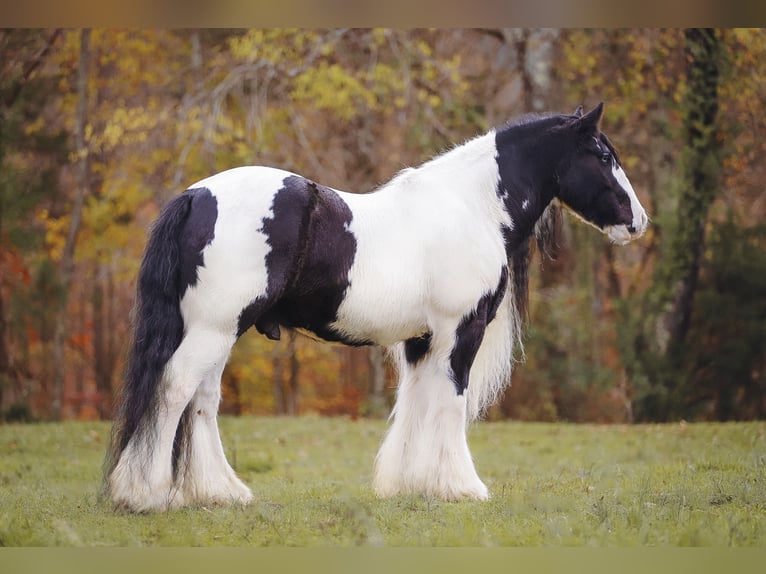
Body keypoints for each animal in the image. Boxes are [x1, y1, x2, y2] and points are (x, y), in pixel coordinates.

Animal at [105, 102, 652, 512]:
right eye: (602, 155)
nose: (638, 222)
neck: (470, 208)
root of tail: (196, 196)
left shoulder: (420, 340)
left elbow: (416, 403)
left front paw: (412, 485)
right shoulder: (461, 331)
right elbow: (450, 402)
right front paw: (463, 486)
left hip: (217, 331)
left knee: (202, 399)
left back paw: (221, 493)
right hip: (215, 328)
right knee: (176, 389)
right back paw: (146, 494)